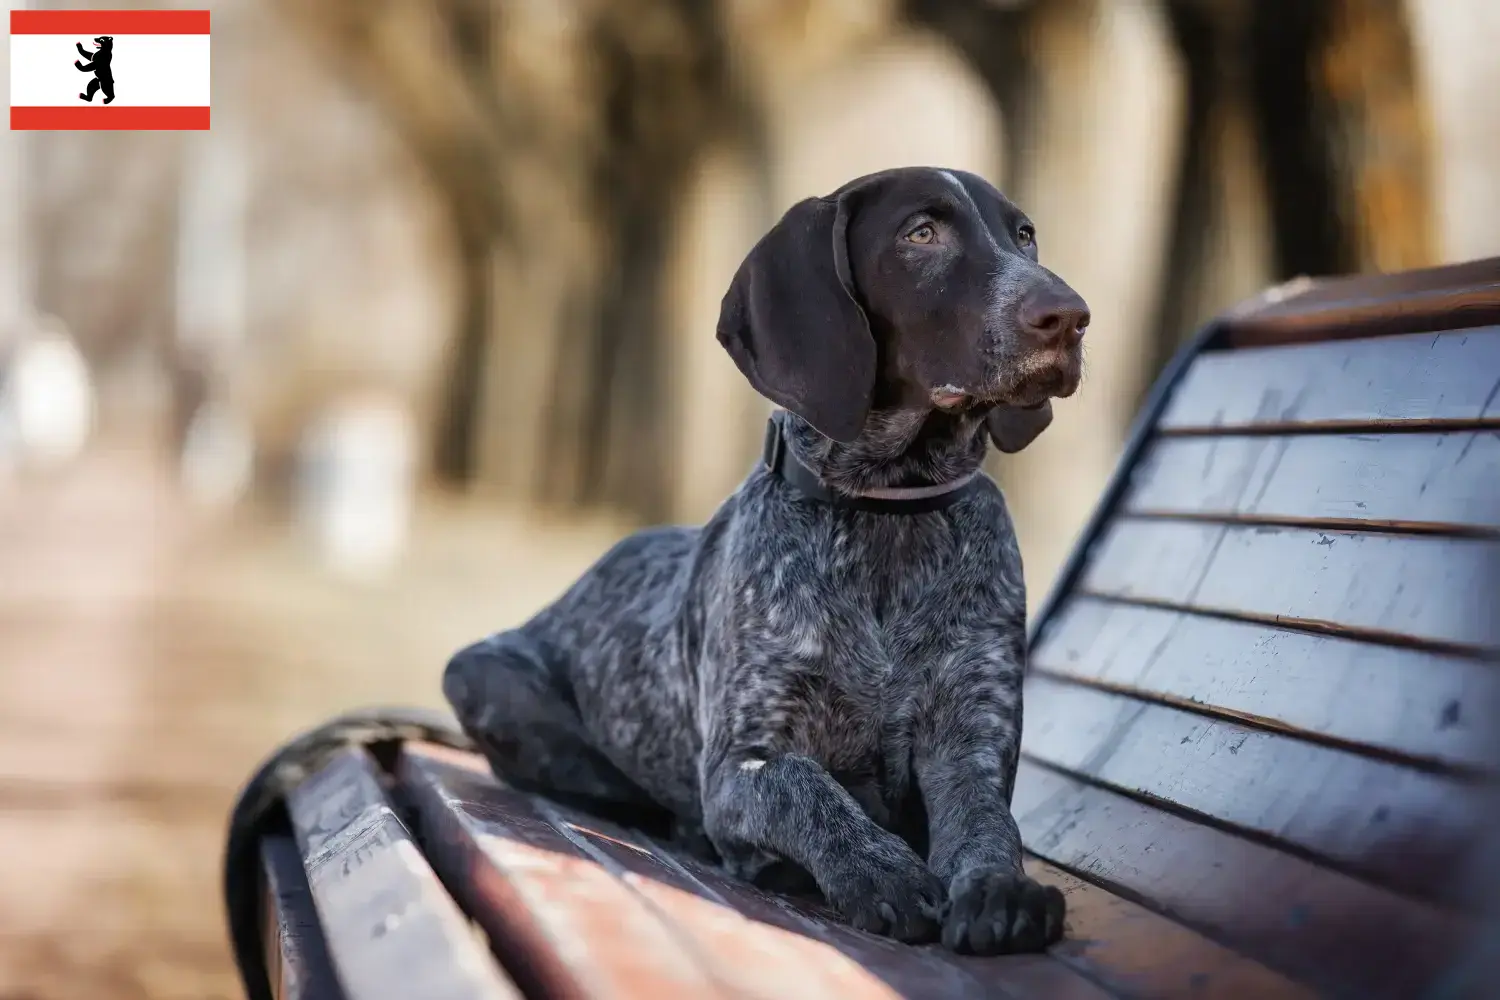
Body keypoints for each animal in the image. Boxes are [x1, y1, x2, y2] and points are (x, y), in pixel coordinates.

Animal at [444, 167, 1092, 959]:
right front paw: (878, 869)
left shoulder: (973, 738)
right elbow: (800, 782)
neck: (889, 508)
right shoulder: (738, 762)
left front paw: (999, 887)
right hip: (482, 676)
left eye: (1024, 236)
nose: (1070, 316)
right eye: (921, 233)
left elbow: (985, 821)